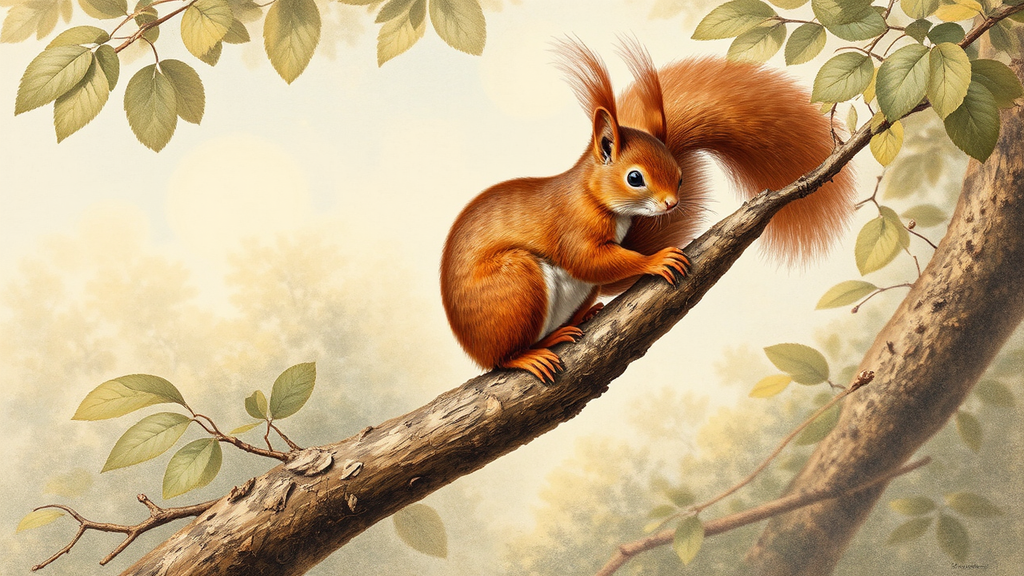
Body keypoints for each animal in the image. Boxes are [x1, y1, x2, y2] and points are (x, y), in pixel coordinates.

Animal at [440, 38, 855, 383]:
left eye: (680, 176)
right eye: (635, 178)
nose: (671, 203)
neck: (592, 195)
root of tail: (473, 348)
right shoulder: (571, 226)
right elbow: (589, 259)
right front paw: (655, 260)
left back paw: (581, 318)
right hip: (515, 288)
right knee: (503, 357)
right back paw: (532, 354)